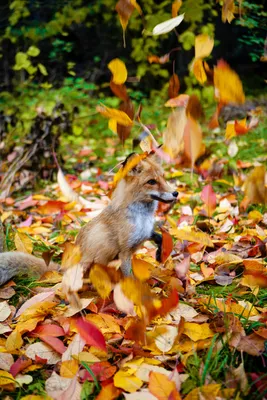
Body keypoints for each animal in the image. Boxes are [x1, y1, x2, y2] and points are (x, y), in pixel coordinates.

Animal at [0, 151, 180, 284]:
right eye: (151, 182)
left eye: (163, 177)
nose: (175, 193)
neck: (142, 218)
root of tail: (63, 268)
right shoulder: (125, 251)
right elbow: (129, 277)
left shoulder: (144, 234)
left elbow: (159, 237)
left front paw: (160, 253)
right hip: (87, 265)